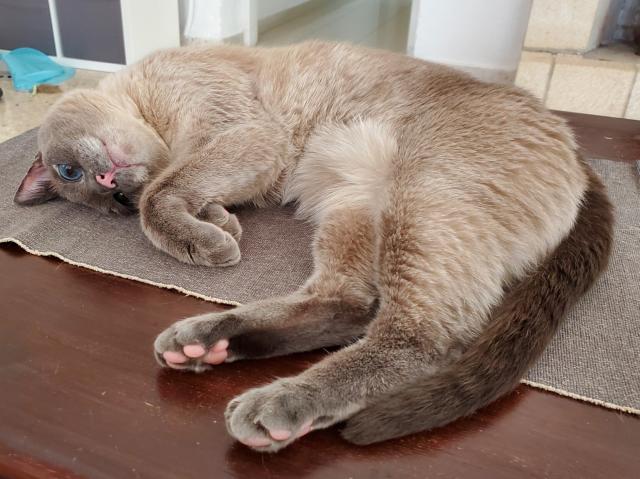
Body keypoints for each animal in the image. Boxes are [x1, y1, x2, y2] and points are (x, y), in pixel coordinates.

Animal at [16, 42, 616, 454]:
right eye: (88, 186)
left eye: (71, 171)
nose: (113, 187)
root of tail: (575, 150)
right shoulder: (249, 162)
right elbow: (178, 197)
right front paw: (220, 227)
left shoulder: (247, 135)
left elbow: (162, 199)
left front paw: (209, 237)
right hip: (354, 202)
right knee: (348, 306)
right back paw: (203, 345)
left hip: (420, 196)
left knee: (425, 337)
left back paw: (272, 404)